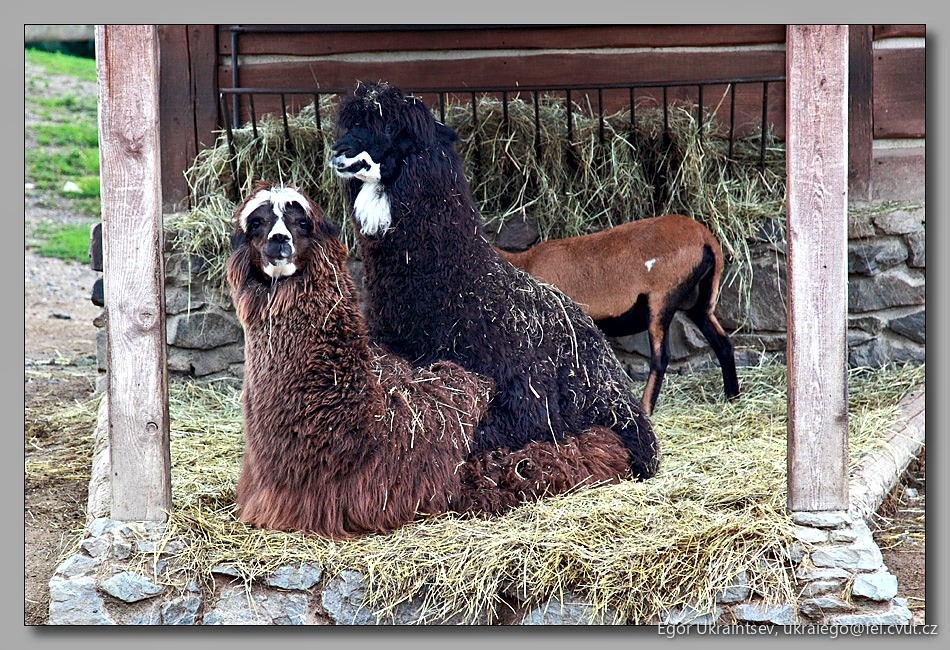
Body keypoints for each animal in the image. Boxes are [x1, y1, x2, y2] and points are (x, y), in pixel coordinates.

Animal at [496, 214, 740, 415]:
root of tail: (705, 239)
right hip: (700, 304)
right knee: (723, 343)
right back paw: (732, 397)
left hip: (661, 301)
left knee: (661, 357)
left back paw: (645, 409)